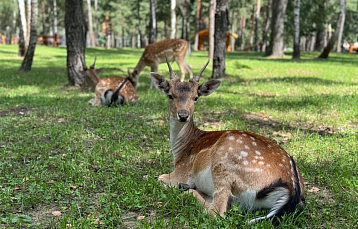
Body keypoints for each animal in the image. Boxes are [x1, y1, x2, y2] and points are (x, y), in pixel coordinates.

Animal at [150, 57, 304, 224]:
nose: (183, 115)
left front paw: (180, 185)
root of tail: (292, 191)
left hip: (223, 163)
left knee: (217, 211)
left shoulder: (181, 172)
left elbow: (159, 177)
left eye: (196, 97)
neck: (180, 150)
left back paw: (186, 189)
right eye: (170, 95)